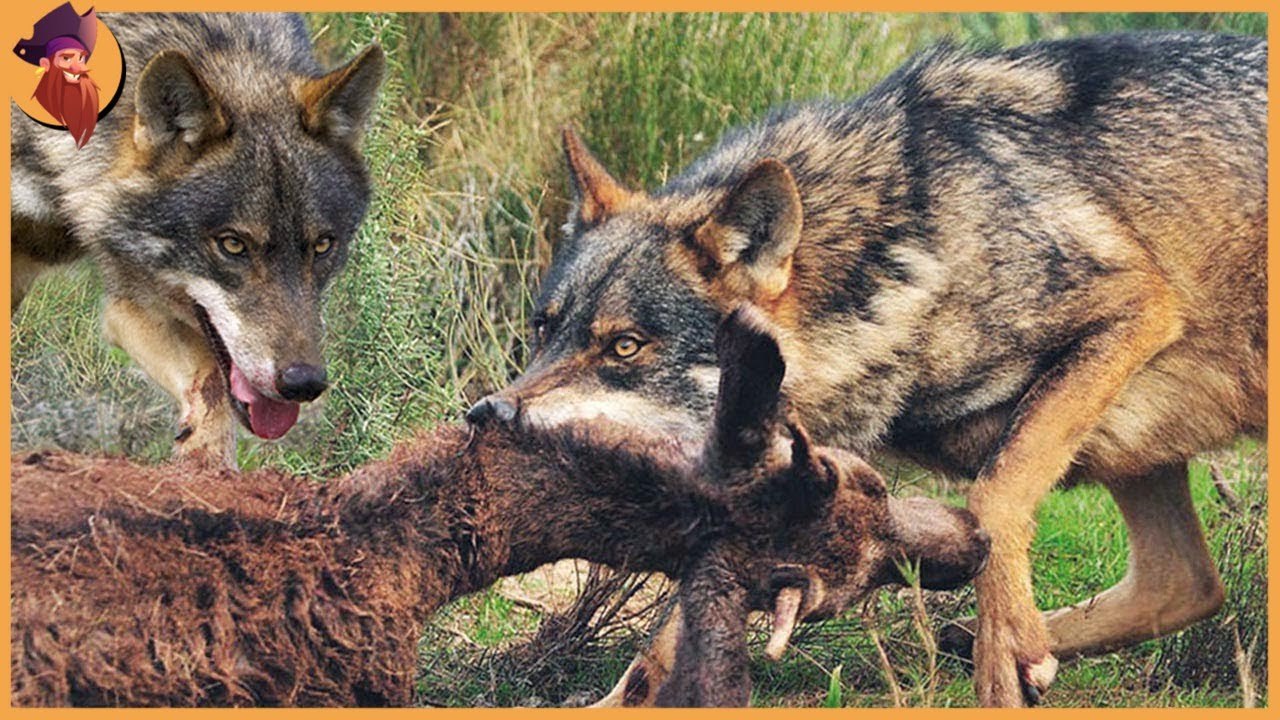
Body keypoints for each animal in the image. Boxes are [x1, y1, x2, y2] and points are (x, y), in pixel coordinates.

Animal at [466, 32, 1267, 706]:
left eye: (626, 347)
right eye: (544, 328)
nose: (486, 416)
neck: (901, 246)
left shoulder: (1135, 310)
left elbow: (994, 497)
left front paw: (1004, 656)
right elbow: (656, 653)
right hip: (1136, 450)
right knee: (1190, 582)